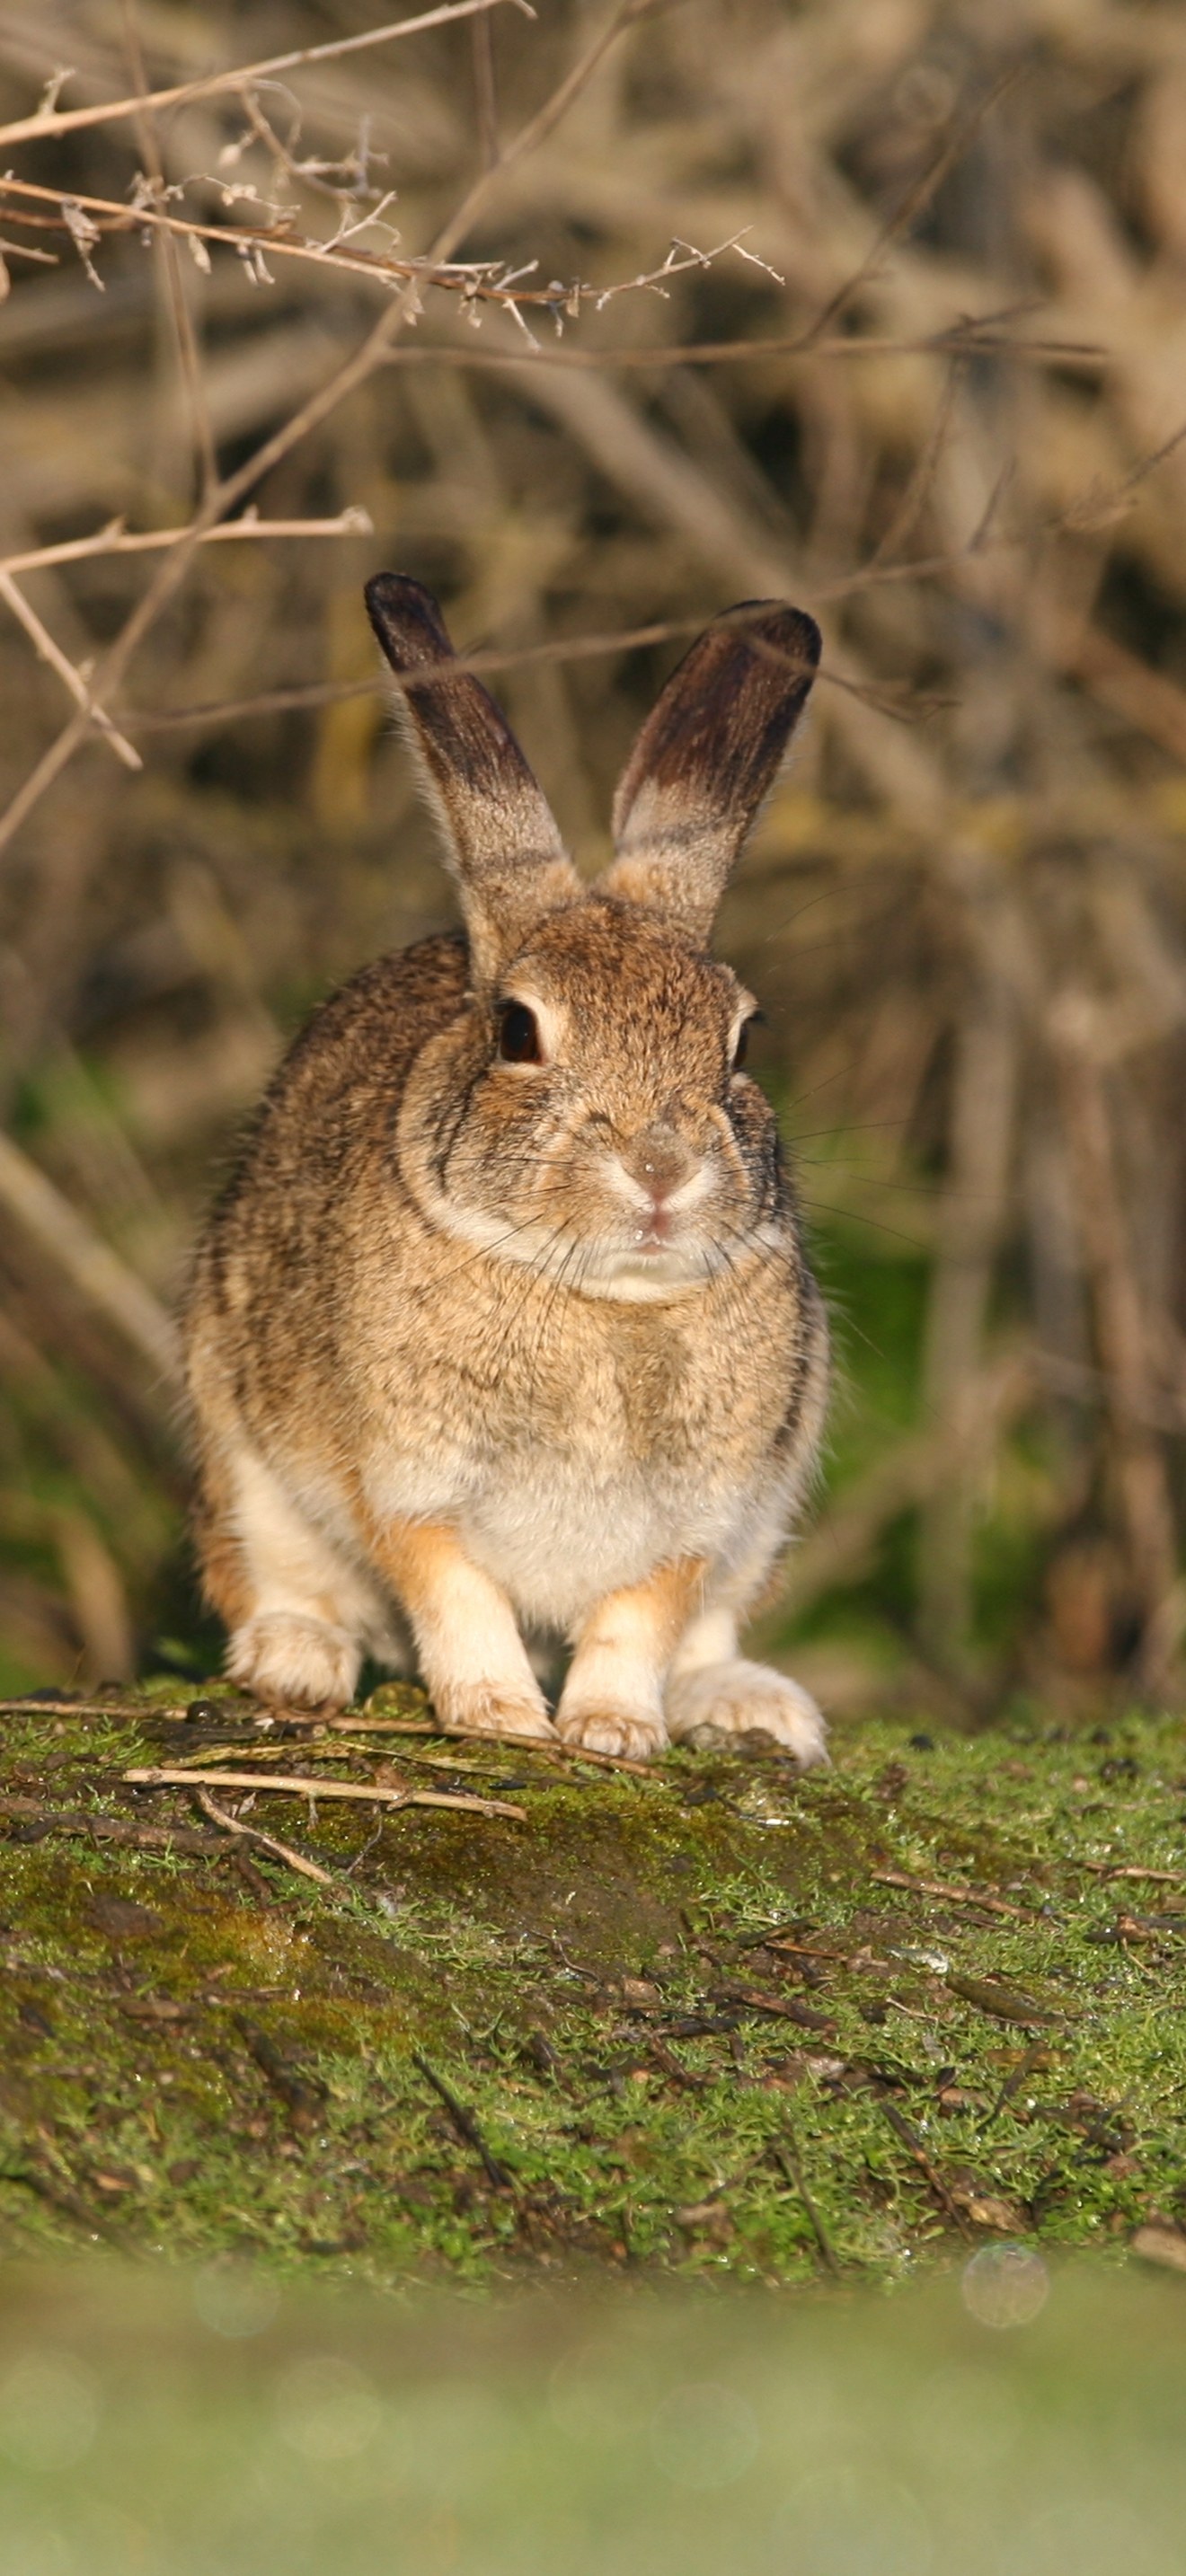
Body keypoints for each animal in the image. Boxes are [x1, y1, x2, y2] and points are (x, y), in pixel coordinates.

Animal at [183, 574, 830, 1765]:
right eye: (518, 1031)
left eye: (743, 1040)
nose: (660, 1169)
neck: (604, 1298)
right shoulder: (406, 1483)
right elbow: (454, 1592)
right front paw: (498, 1714)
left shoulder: (702, 1519)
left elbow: (640, 1619)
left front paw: (613, 1730)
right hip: (240, 1450)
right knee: (274, 1576)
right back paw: (296, 1660)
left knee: (709, 1635)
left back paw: (751, 1707)